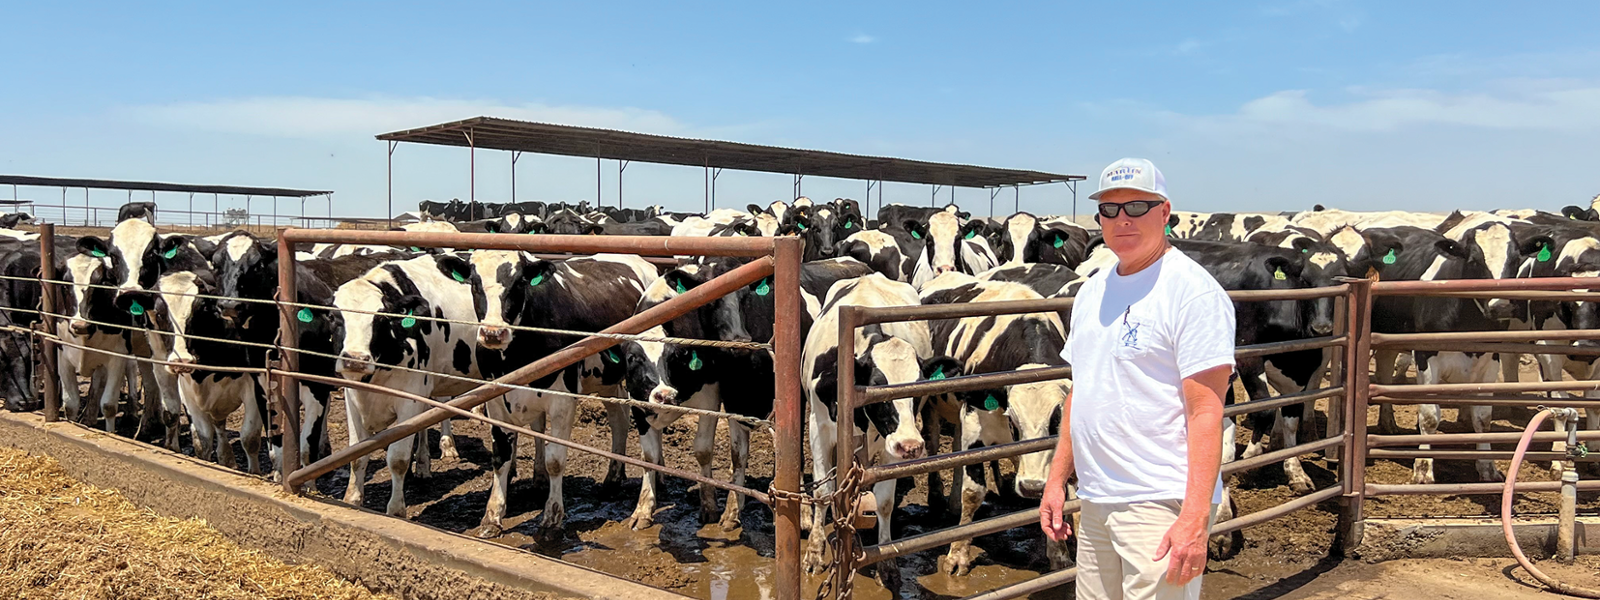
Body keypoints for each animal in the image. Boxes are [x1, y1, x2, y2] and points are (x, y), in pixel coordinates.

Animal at [796, 273, 934, 588]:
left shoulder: (891, 445)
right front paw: (814, 553)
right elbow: (823, 489)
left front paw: (887, 564)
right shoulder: (818, 427)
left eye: (919, 387)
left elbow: (884, 501)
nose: (912, 445)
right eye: (878, 392)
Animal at [915, 281, 1075, 579]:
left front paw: (1059, 555)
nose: (1031, 486)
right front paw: (957, 555)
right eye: (1013, 420)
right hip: (932, 405)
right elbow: (973, 493)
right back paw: (937, 500)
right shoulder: (974, 419)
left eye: (1056, 422)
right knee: (933, 444)